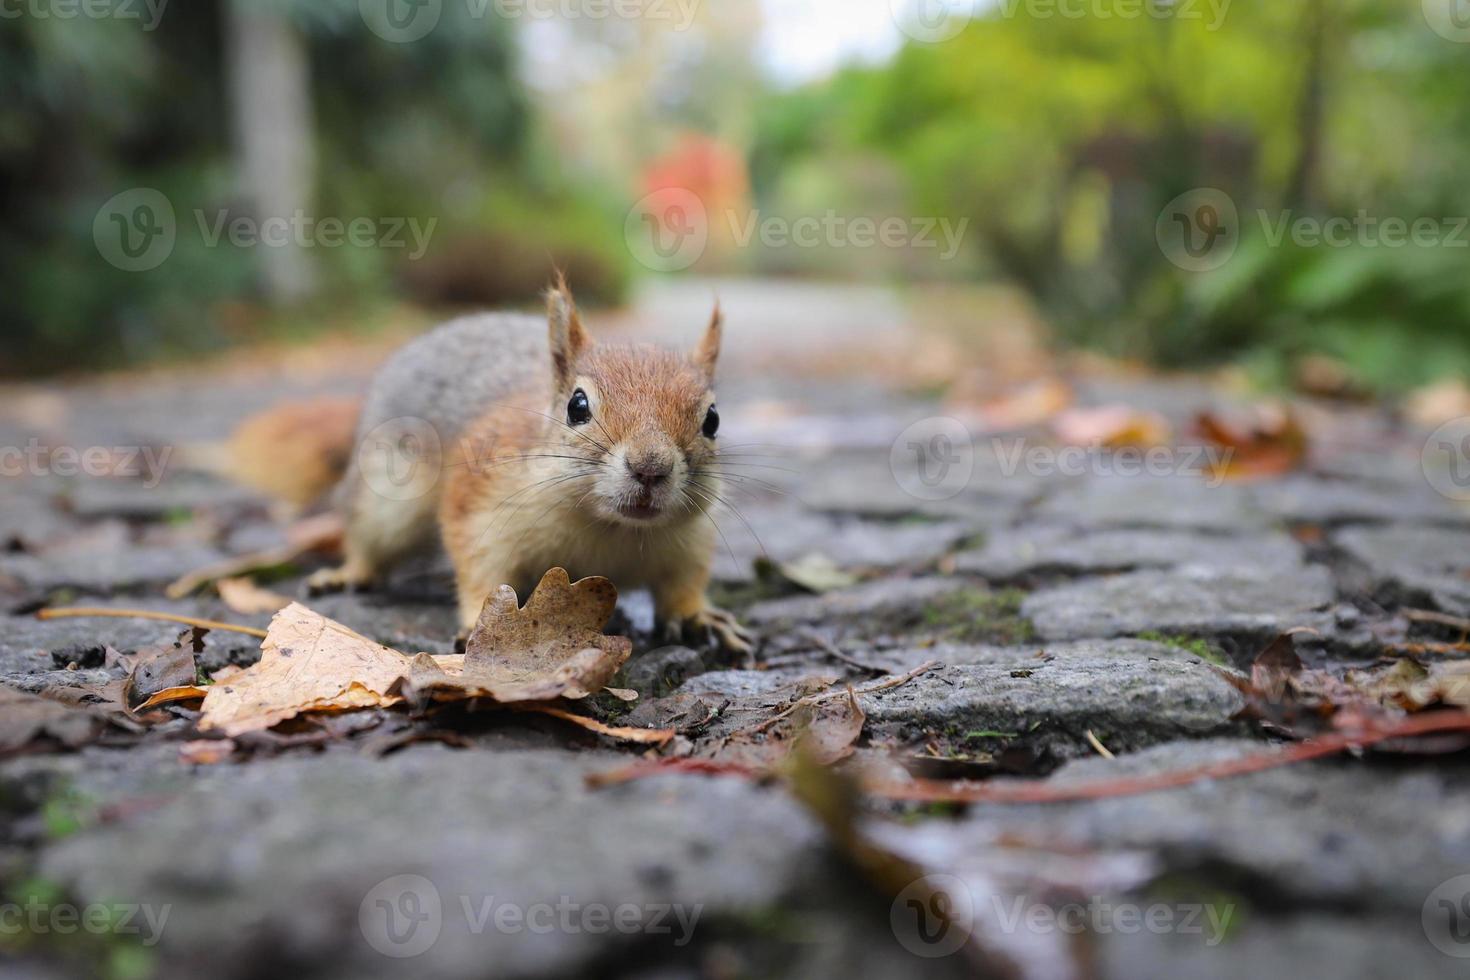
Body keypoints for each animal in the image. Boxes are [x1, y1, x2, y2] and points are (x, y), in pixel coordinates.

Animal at [304, 279, 752, 655]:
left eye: (712, 419)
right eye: (577, 406)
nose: (650, 468)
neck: (611, 528)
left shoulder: (690, 538)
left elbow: (684, 582)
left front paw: (697, 616)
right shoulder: (479, 502)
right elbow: (480, 566)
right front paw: (480, 623)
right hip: (383, 501)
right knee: (368, 543)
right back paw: (348, 573)